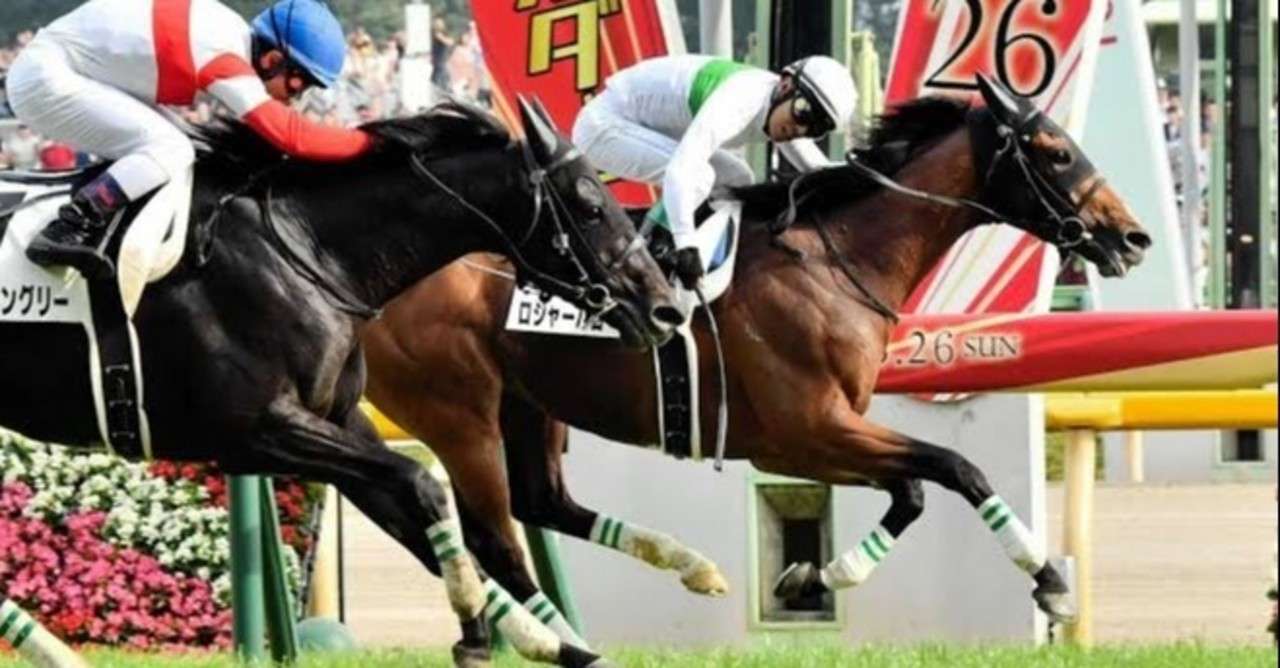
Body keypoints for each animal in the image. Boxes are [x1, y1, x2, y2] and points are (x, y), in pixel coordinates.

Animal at [0, 99, 677, 668]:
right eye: (591, 205)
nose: (664, 308)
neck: (307, 254)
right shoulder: (257, 430)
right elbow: (422, 485)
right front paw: (489, 634)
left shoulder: (336, 423)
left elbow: (418, 520)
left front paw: (547, 643)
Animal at [362, 78, 1153, 642]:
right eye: (1055, 150)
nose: (1133, 237)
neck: (835, 261)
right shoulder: (809, 428)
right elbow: (956, 469)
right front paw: (1050, 581)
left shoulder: (805, 440)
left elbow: (914, 490)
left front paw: (813, 578)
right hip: (459, 413)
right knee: (495, 537)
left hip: (527, 404)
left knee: (540, 503)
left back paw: (691, 567)